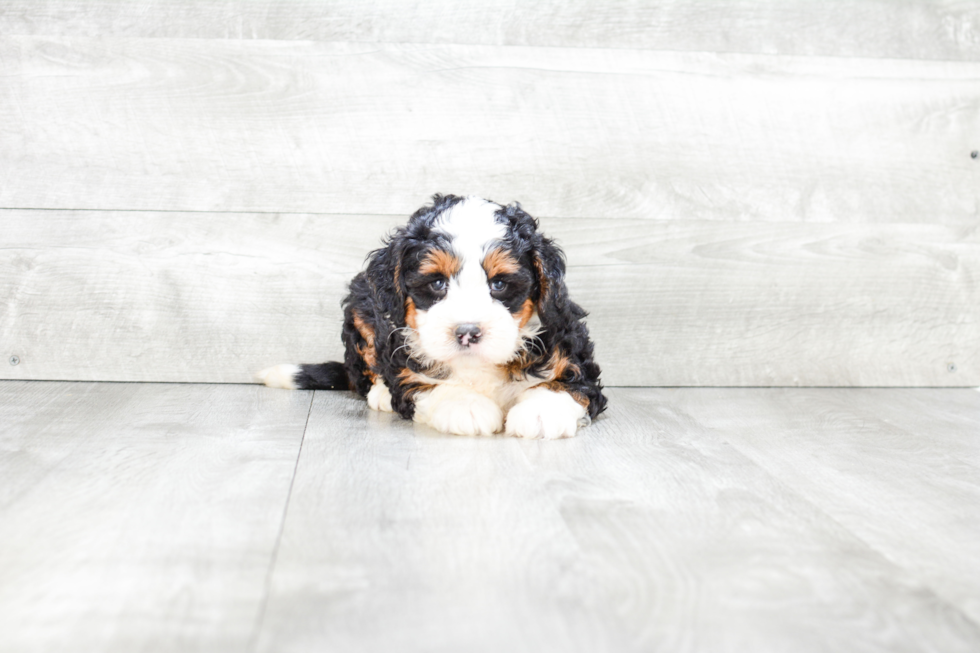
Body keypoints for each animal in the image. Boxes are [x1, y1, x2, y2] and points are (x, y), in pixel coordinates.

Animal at [256, 194, 604, 438]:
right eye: (437, 283)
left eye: (499, 284)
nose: (467, 332)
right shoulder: (402, 359)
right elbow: (423, 383)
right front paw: (467, 407)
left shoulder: (569, 348)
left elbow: (568, 384)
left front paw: (540, 414)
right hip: (361, 310)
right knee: (364, 374)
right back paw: (380, 393)